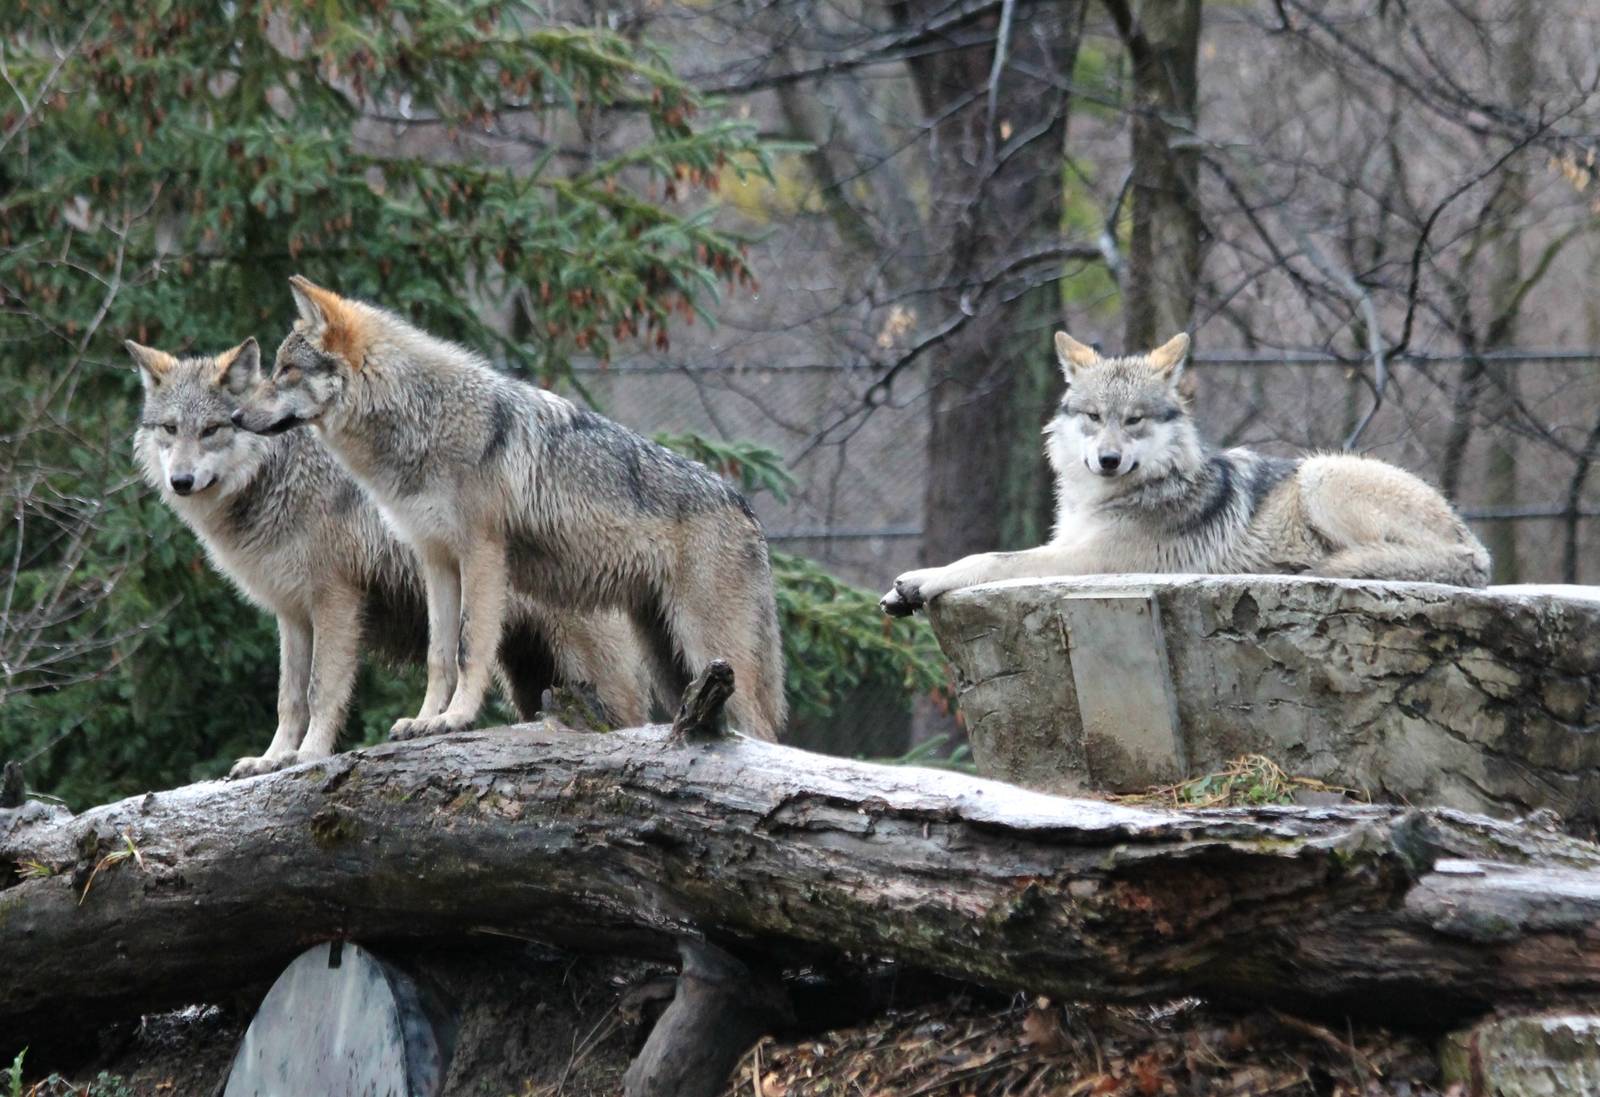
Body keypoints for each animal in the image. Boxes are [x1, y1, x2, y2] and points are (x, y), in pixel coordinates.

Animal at [130, 338, 661, 778]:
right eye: (171, 429)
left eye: (213, 429)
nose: (180, 481)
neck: (278, 478)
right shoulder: (292, 614)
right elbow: (288, 699)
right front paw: (270, 759)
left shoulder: (336, 601)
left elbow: (320, 690)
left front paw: (308, 755)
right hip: (530, 678)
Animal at [229, 277, 787, 742]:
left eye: (286, 371)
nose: (233, 415)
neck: (423, 419)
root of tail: (746, 508)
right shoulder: (436, 560)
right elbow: (439, 655)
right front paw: (424, 720)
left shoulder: (481, 554)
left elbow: (469, 646)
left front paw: (455, 720)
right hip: (673, 664)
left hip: (706, 650)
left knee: (761, 734)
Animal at [882, 331, 1491, 615]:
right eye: (1094, 417)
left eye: (1134, 420)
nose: (1108, 459)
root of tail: (1477, 551)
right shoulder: (1068, 543)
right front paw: (903, 589)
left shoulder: (1090, 559)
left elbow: (991, 558)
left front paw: (922, 581)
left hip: (1321, 473)